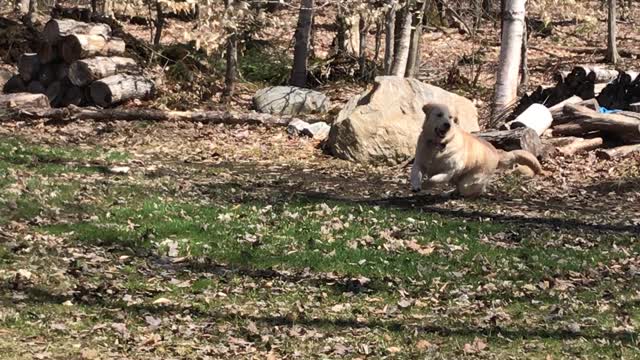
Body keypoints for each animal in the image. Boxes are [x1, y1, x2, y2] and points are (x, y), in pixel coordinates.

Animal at [412, 102, 544, 197]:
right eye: (439, 114)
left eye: (450, 118)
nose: (447, 125)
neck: (438, 144)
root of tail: (496, 152)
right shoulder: (419, 162)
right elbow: (415, 173)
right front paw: (416, 185)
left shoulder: (449, 171)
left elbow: (434, 179)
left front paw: (425, 184)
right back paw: (450, 193)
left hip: (468, 182)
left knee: (474, 189)